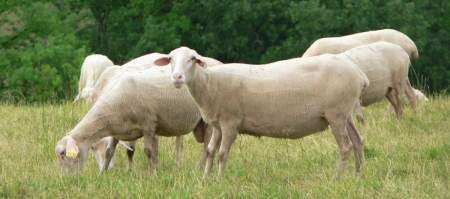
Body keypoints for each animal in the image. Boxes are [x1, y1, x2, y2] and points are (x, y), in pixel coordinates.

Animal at [154, 46, 370, 177]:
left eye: (192, 59)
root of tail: (359, 73)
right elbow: (210, 151)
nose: (177, 77)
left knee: (346, 146)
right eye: (171, 59)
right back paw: (357, 175)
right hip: (345, 113)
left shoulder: (230, 121)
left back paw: (337, 177)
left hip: (336, 113)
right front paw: (206, 178)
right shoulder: (217, 124)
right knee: (358, 141)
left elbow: (222, 153)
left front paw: (219, 179)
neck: (210, 84)